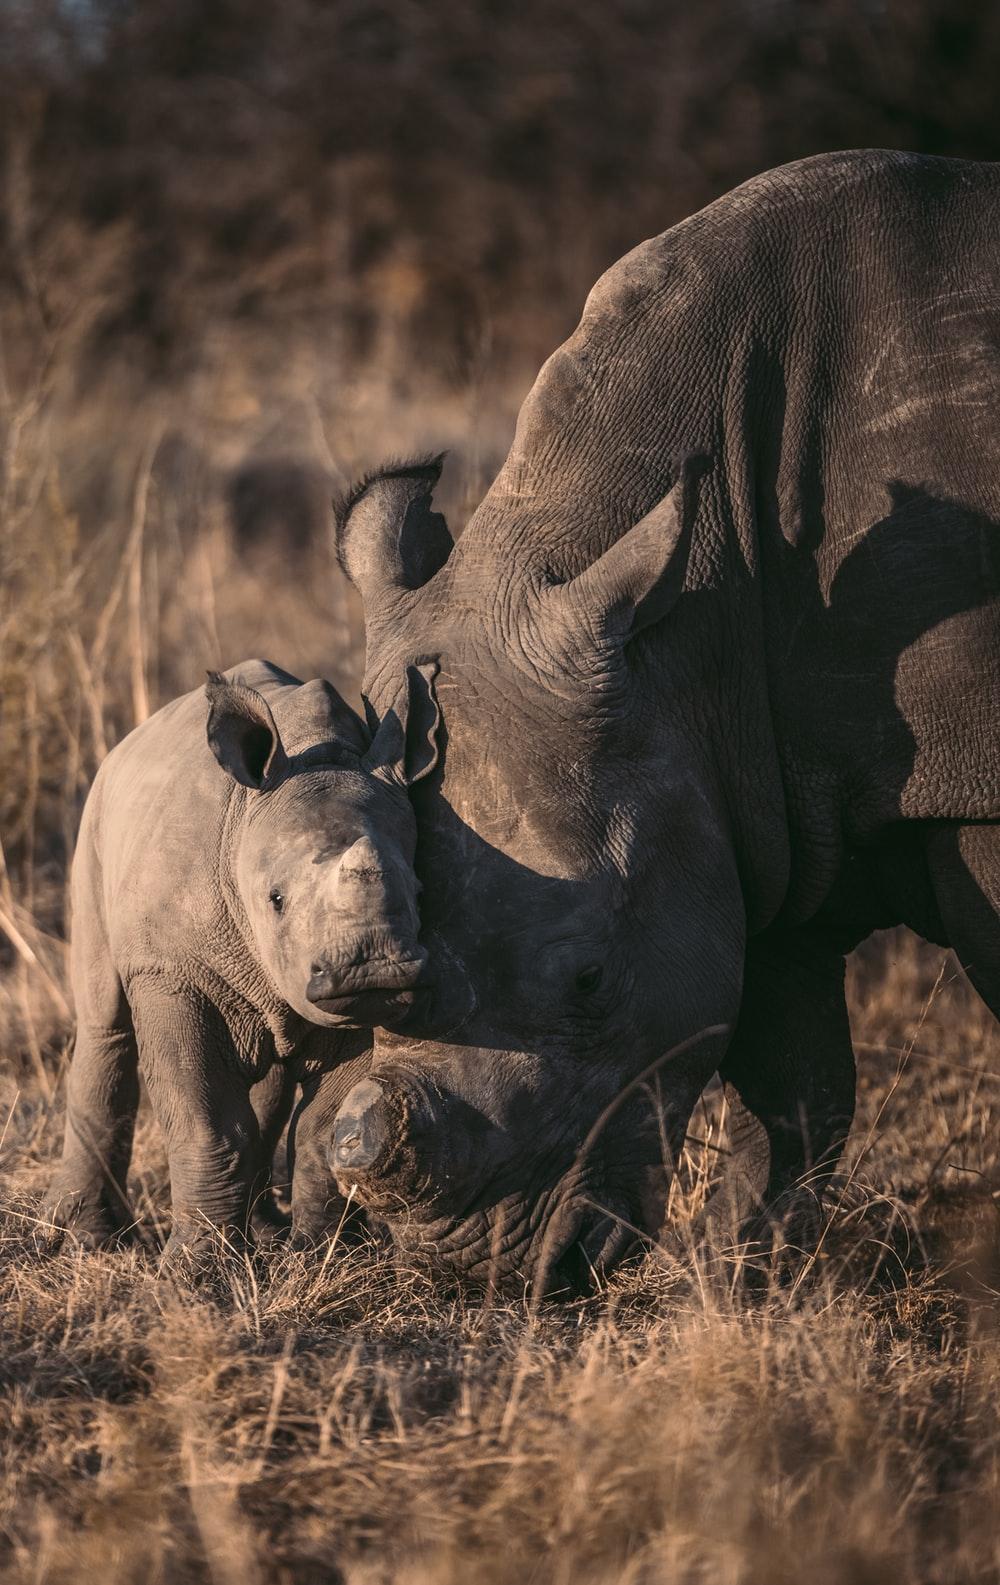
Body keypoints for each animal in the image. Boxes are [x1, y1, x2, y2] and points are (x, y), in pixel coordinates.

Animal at [42, 658, 438, 1258]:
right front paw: (197, 1267)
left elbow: (321, 1130)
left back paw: (265, 1234)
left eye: (418, 894)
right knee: (104, 1021)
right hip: (95, 821)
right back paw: (88, 1242)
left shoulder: (353, 1005)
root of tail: (125, 746)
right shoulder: (171, 972)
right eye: (275, 900)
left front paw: (319, 1257)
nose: (373, 969)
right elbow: (204, 1123)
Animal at [325, 149, 1000, 1293]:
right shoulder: (748, 794)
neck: (692, 633)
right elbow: (795, 1086)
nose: (475, 1275)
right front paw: (741, 1272)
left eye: (591, 978)